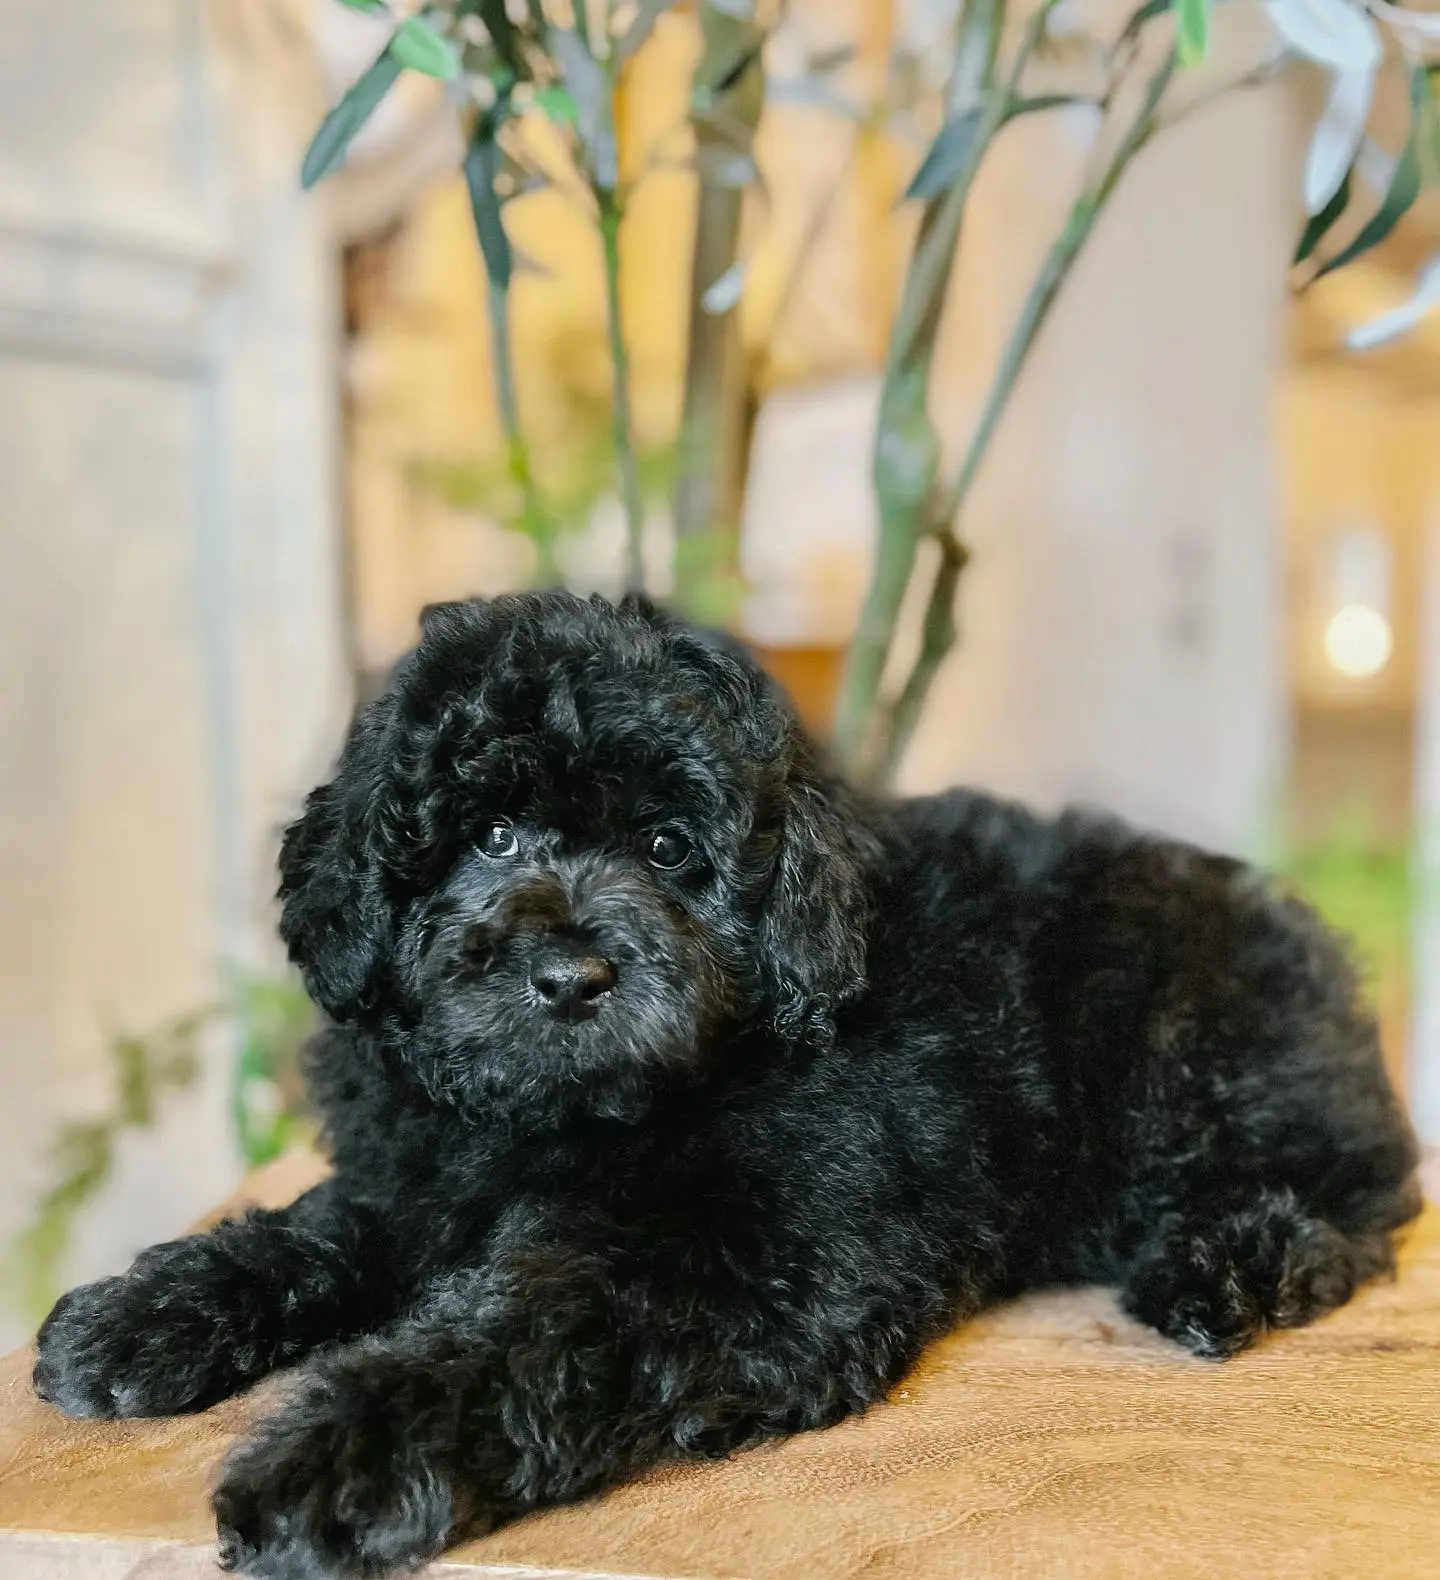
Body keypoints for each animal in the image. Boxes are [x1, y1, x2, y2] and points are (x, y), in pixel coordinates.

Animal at [31, 594, 1416, 1580]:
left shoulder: (755, 1256)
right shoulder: (420, 1178)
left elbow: (524, 1329)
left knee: (1355, 1191)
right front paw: (144, 1312)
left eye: (667, 847)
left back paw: (1225, 1264)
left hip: (1192, 1056)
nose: (573, 974)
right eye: (490, 833)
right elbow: (321, 1230)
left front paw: (335, 1457)